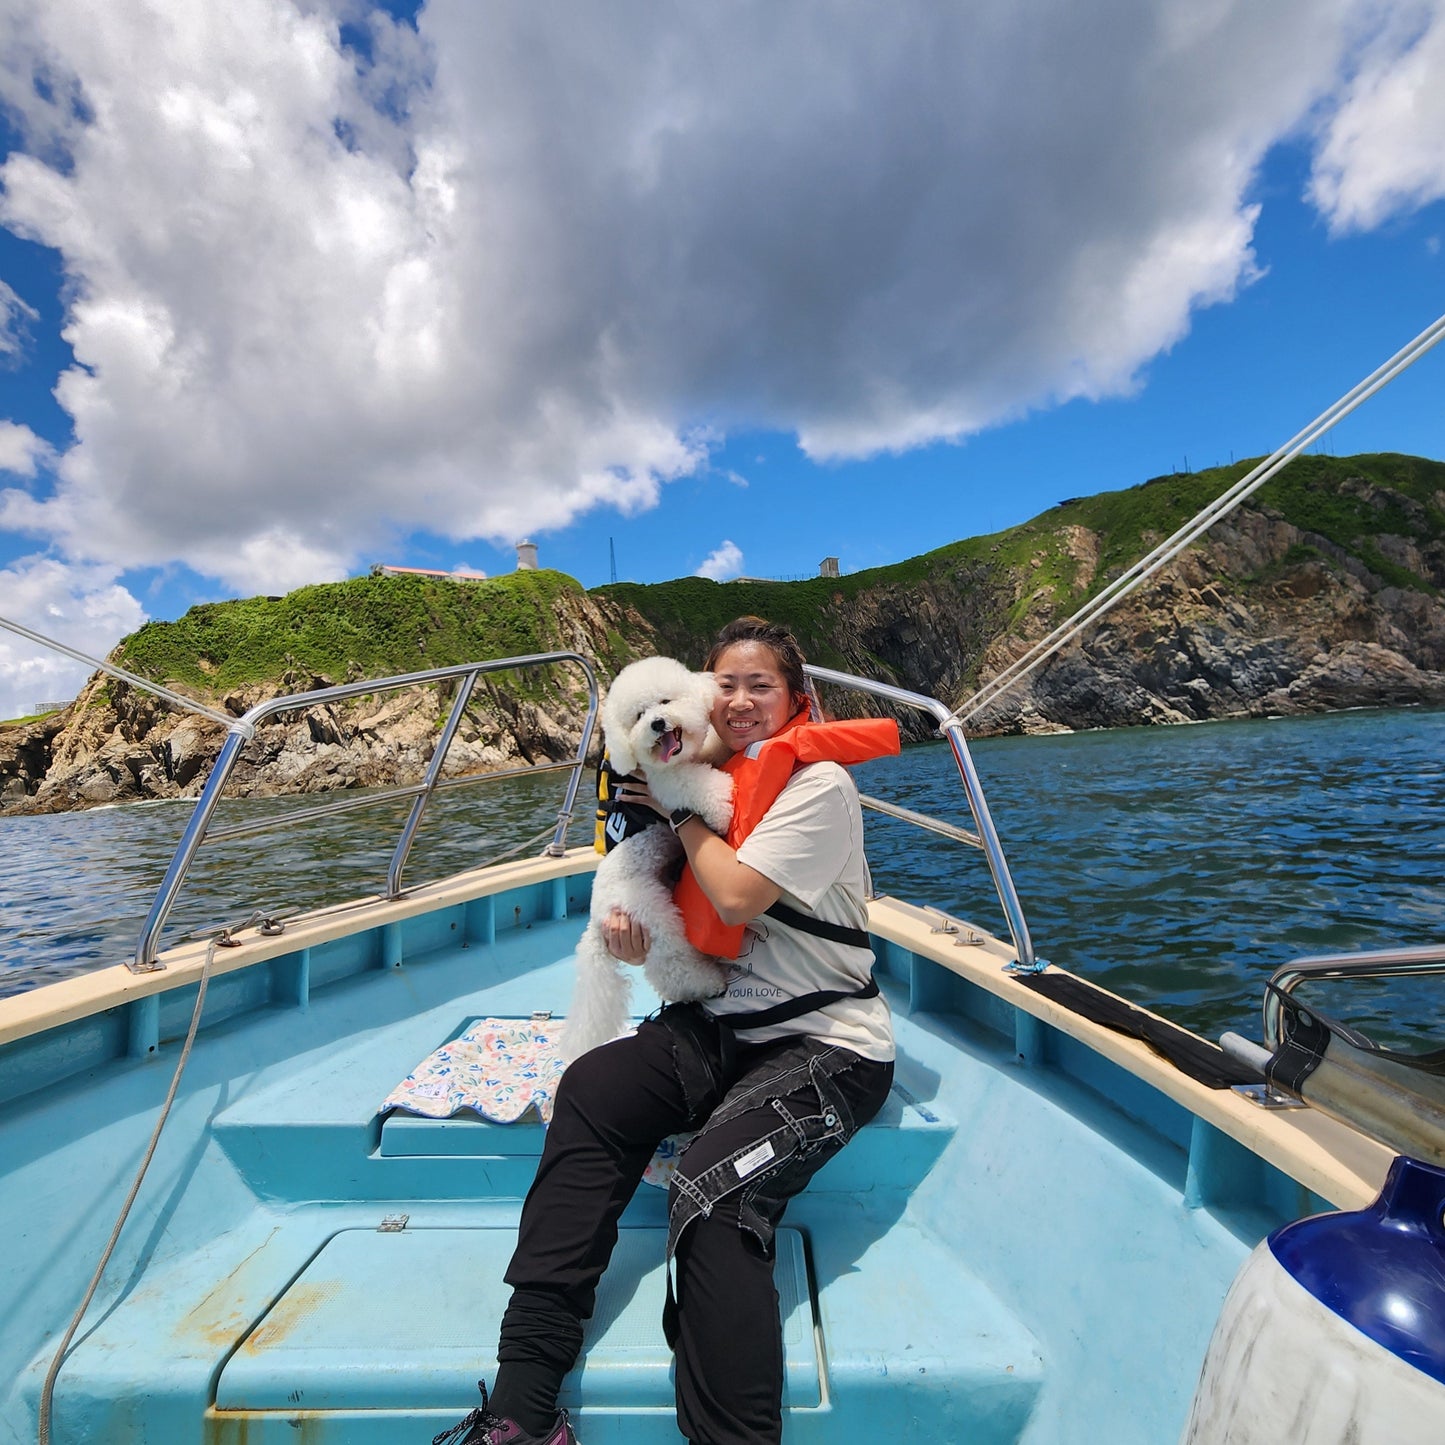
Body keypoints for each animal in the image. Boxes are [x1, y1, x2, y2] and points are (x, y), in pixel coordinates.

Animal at [560, 658, 734, 1063]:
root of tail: (595, 925)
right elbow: (694, 783)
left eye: (665, 701)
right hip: (653, 914)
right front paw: (722, 803)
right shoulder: (666, 784)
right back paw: (708, 983)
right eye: (638, 716)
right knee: (672, 966)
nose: (657, 723)